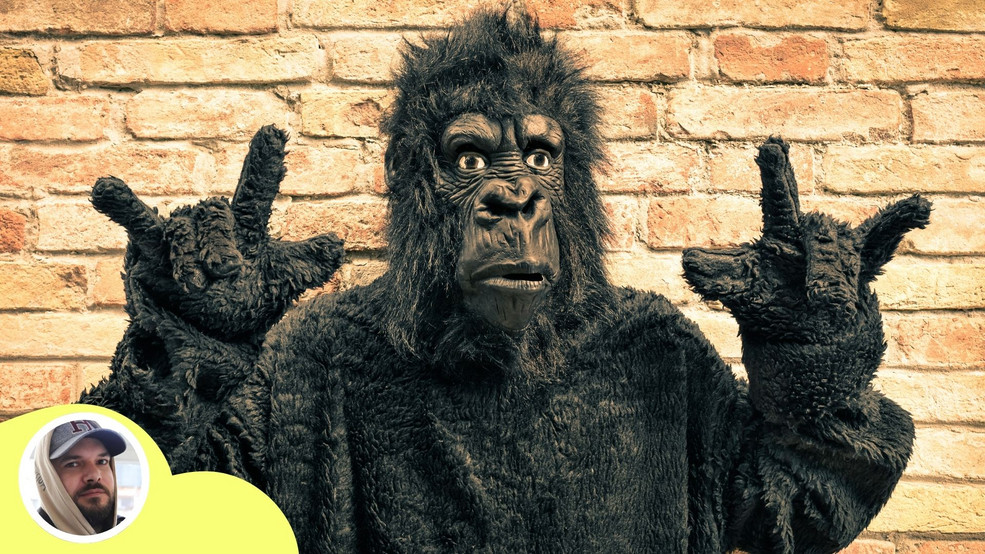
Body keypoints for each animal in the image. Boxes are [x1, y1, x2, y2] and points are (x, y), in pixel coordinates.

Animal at [82, 9, 930, 553]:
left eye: (541, 157)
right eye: (468, 159)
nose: (513, 200)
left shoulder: (673, 347)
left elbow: (786, 489)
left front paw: (805, 303)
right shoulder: (299, 360)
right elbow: (208, 469)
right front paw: (205, 305)